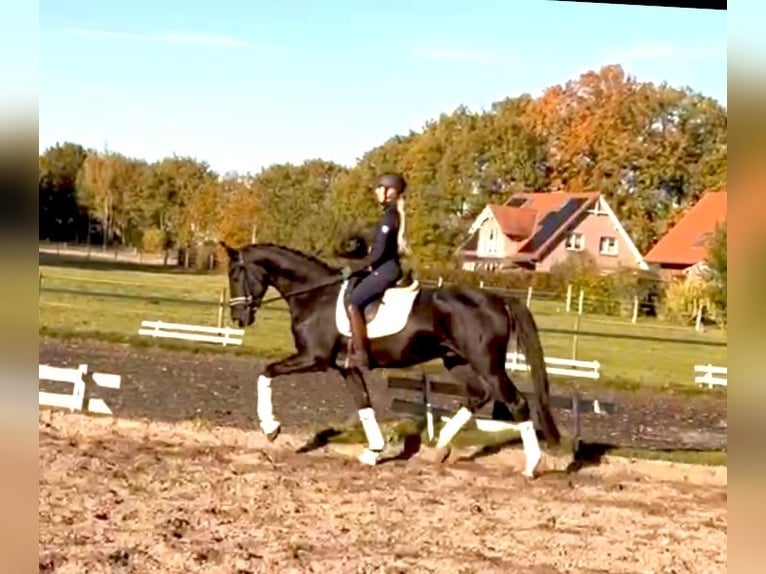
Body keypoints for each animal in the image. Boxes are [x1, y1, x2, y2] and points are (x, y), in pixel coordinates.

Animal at [219, 241, 560, 474]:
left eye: (236, 274)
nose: (238, 318)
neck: (316, 296)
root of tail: (498, 299)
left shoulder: (313, 358)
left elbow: (266, 371)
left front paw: (271, 428)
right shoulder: (346, 368)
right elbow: (364, 404)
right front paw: (373, 452)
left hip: (486, 363)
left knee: (516, 402)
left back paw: (531, 466)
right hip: (457, 360)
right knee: (478, 395)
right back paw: (440, 448)